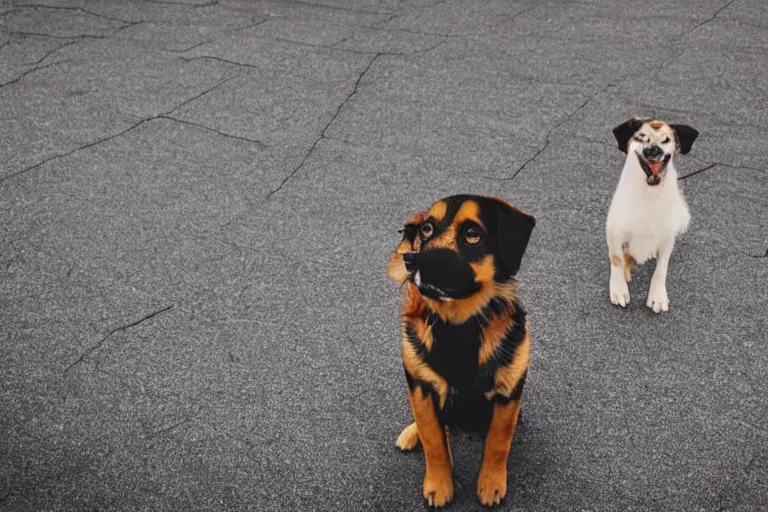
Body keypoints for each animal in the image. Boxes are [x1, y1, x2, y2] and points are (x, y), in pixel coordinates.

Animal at [388, 194, 536, 506]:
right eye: (427, 229)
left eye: (472, 234)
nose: (413, 261)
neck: (459, 327)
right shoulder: (421, 387)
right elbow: (433, 440)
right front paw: (440, 485)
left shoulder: (508, 393)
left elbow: (499, 442)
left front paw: (491, 484)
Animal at [608, 118, 700, 314]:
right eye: (641, 137)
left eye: (666, 140)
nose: (653, 151)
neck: (649, 193)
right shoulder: (614, 227)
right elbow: (616, 259)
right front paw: (619, 290)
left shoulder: (667, 236)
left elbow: (661, 269)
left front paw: (657, 296)